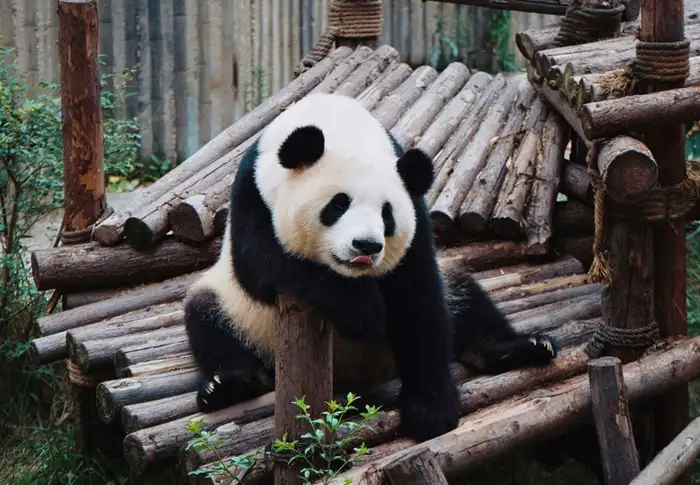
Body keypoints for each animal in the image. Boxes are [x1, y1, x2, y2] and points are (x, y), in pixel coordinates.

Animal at [183, 92, 559, 442]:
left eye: (387, 214)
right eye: (338, 204)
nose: (366, 245)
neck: (337, 122)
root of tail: (355, 374)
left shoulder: (415, 213)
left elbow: (419, 299)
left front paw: (431, 412)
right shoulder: (252, 193)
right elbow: (265, 265)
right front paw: (362, 311)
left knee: (466, 299)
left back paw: (518, 348)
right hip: (239, 311)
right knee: (207, 319)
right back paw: (228, 384)